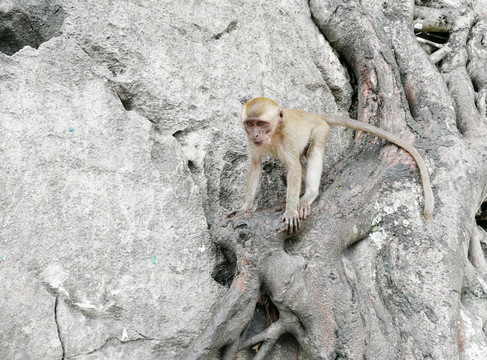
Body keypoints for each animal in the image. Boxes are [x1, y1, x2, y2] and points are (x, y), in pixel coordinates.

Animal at [229, 97, 434, 233]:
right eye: (250, 124)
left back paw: (309, 195)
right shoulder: (253, 144)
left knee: (313, 152)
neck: (272, 135)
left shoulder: (286, 138)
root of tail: (314, 115)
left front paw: (290, 210)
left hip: (321, 129)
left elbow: (293, 169)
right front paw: (245, 208)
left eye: (261, 123)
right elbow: (255, 164)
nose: (255, 134)